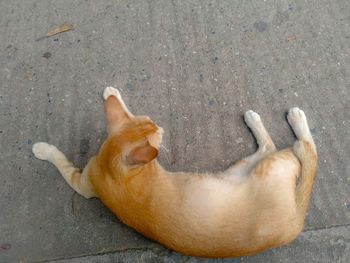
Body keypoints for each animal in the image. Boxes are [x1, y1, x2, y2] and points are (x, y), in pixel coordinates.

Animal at [32, 86, 318, 258]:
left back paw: (294, 121)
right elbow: (62, 160)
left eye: (153, 124)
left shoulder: (83, 184)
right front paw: (45, 149)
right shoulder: (83, 182)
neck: (116, 169)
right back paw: (265, 121)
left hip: (264, 165)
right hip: (249, 166)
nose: (161, 127)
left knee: (305, 152)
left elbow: (63, 160)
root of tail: (296, 224)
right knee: (285, 149)